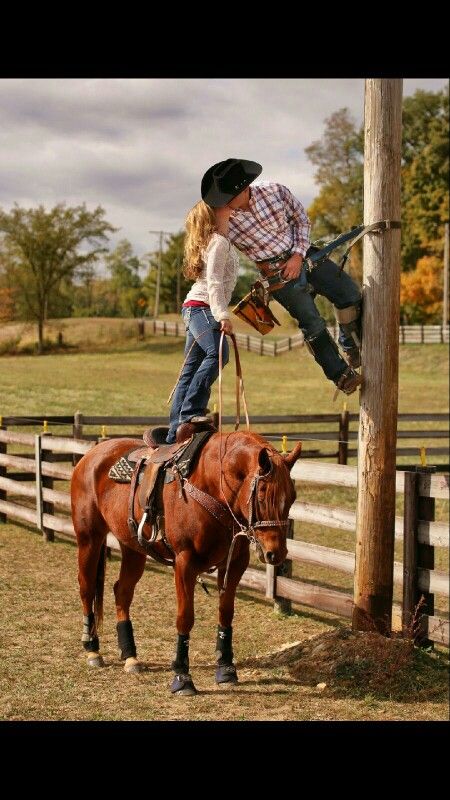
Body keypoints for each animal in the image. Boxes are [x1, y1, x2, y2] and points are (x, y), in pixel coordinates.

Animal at [71, 432, 302, 692]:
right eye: (262, 495)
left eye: (292, 497)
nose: (276, 553)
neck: (211, 487)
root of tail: (91, 454)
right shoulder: (184, 563)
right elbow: (185, 617)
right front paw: (182, 677)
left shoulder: (234, 564)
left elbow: (226, 613)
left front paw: (226, 668)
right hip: (89, 538)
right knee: (86, 587)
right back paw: (92, 649)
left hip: (133, 548)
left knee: (122, 592)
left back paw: (130, 655)